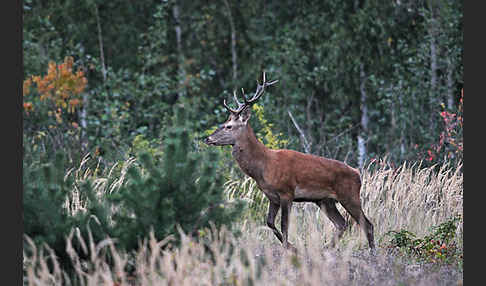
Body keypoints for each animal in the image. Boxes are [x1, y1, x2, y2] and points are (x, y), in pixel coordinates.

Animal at [203, 72, 374, 251]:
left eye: (228, 126)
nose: (207, 138)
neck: (263, 167)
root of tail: (358, 174)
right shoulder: (272, 196)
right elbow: (269, 223)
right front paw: (291, 246)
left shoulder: (287, 192)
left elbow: (284, 225)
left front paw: (289, 247)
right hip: (325, 200)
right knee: (342, 223)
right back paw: (326, 248)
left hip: (349, 195)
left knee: (367, 224)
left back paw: (371, 250)